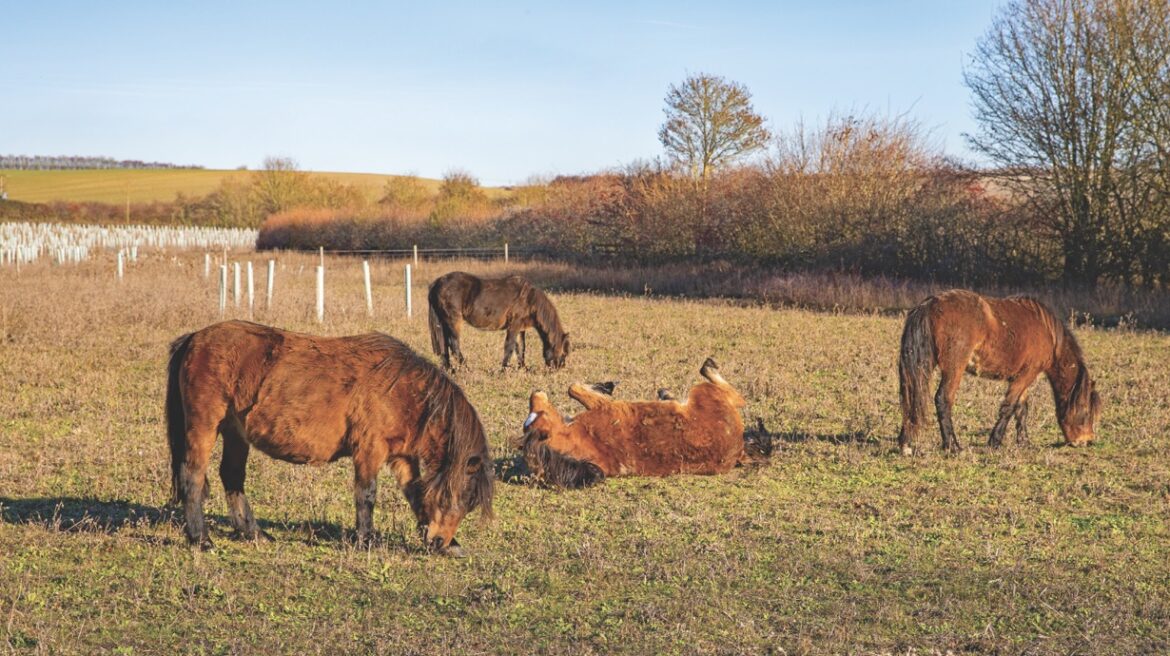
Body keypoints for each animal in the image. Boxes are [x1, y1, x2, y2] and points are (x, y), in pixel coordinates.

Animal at [165, 320, 493, 556]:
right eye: (458, 496)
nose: (439, 541)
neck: (401, 389)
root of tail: (194, 339)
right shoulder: (369, 450)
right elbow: (366, 495)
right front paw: (366, 541)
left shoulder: (401, 456)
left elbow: (415, 493)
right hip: (204, 427)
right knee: (192, 476)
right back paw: (201, 540)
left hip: (235, 433)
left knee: (232, 477)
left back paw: (254, 533)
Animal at [428, 271, 570, 370]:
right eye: (564, 352)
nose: (560, 367)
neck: (530, 299)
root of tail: (438, 282)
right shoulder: (514, 326)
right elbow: (509, 346)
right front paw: (504, 368)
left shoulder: (520, 328)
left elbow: (521, 348)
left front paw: (523, 367)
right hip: (453, 321)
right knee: (454, 345)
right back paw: (466, 368)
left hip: (443, 322)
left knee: (444, 344)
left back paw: (449, 369)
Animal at [518, 358, 768, 488]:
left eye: (532, 420)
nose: (535, 392)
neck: (587, 440)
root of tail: (739, 449)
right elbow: (575, 387)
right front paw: (606, 385)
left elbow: (573, 388)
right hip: (710, 393)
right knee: (732, 392)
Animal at [897, 289, 1101, 455]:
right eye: (1085, 411)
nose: (1086, 441)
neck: (1047, 331)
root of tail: (929, 304)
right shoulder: (1027, 375)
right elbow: (1008, 408)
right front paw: (994, 442)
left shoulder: (1021, 377)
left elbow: (1021, 409)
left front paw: (1024, 442)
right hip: (954, 369)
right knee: (943, 399)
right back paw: (953, 447)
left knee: (912, 398)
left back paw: (906, 444)